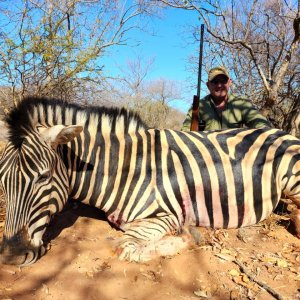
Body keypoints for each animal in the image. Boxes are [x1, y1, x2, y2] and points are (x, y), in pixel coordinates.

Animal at [0, 98, 298, 264]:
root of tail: (278, 130)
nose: (11, 256)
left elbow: (123, 248)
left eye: (43, 177)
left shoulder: (166, 215)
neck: (125, 168)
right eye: (2, 183)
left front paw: (191, 237)